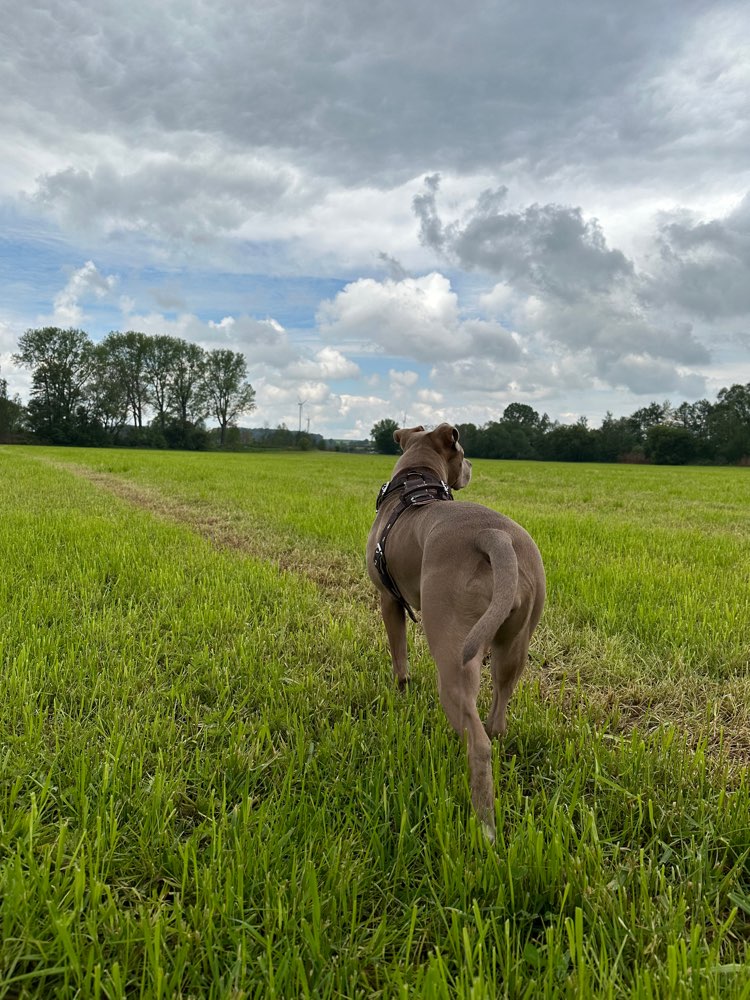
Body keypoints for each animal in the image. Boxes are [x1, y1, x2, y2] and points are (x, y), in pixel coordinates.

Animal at [366, 424, 548, 844]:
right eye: (463, 452)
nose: (472, 466)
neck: (414, 481)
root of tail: (494, 537)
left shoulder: (389, 600)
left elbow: (399, 657)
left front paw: (400, 692)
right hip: (513, 644)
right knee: (497, 714)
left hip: (451, 654)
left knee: (477, 742)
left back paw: (485, 829)